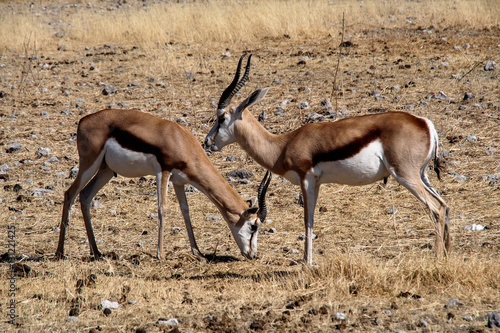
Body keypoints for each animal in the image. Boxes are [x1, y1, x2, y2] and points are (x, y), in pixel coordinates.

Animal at [55, 107, 270, 260]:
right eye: (254, 226)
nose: (253, 255)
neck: (181, 140)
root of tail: (84, 120)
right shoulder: (163, 172)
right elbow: (162, 209)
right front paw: (161, 254)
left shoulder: (179, 181)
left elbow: (185, 211)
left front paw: (198, 253)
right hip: (89, 164)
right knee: (69, 194)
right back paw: (60, 253)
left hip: (105, 170)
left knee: (85, 197)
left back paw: (97, 252)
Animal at [203, 55, 450, 268]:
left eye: (221, 117)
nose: (207, 142)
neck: (283, 145)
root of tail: (425, 123)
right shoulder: (318, 183)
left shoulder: (307, 180)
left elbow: (307, 220)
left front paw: (307, 263)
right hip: (422, 175)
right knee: (445, 205)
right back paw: (448, 253)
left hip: (406, 175)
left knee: (436, 208)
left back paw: (438, 259)